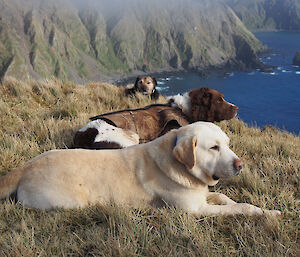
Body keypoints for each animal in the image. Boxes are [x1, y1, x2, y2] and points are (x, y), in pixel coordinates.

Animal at [0, 121, 282, 215]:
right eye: (213, 148)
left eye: (227, 144)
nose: (240, 165)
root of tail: (24, 167)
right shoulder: (194, 210)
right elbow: (239, 208)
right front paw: (264, 213)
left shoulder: (202, 195)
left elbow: (225, 197)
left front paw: (266, 210)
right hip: (70, 202)